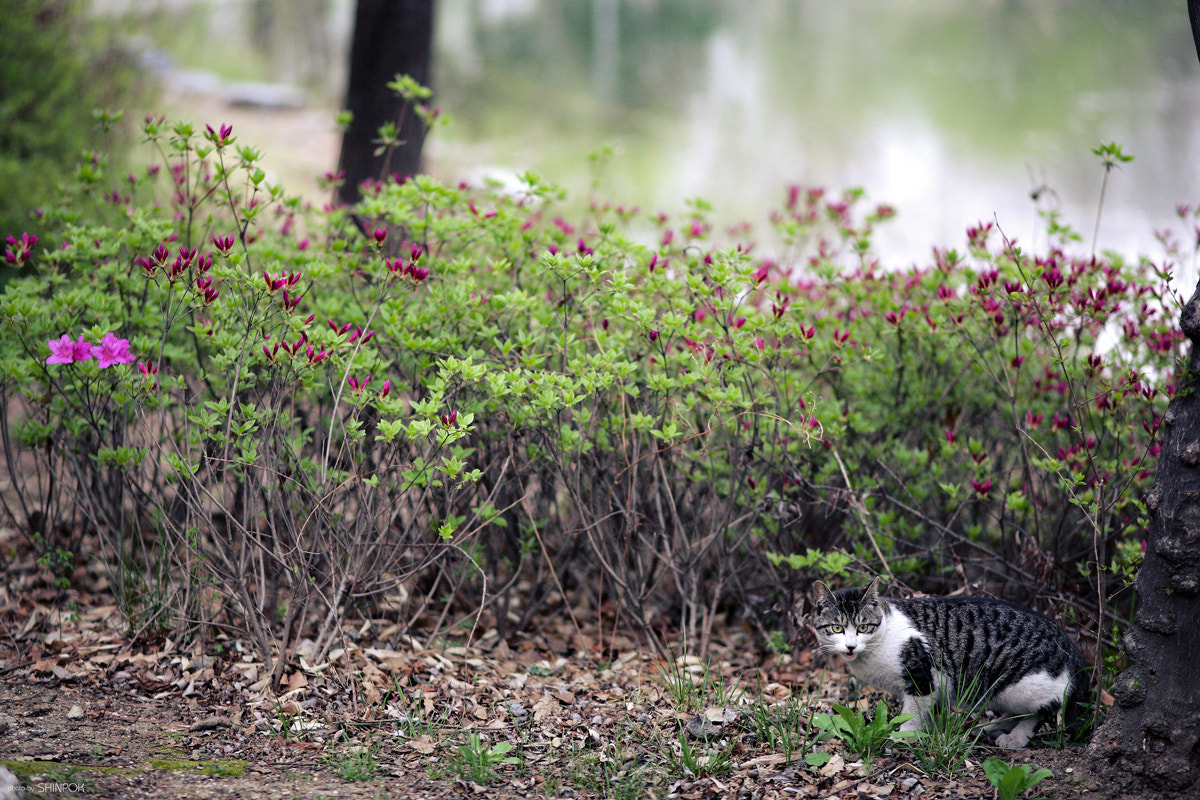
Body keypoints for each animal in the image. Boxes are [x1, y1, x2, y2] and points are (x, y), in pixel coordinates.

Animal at [806, 578, 1089, 748]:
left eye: (863, 627)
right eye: (837, 628)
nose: (851, 646)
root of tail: (1070, 644)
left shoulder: (922, 675)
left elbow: (914, 711)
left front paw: (906, 733)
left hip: (1023, 684)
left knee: (1045, 709)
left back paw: (1016, 737)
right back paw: (995, 726)